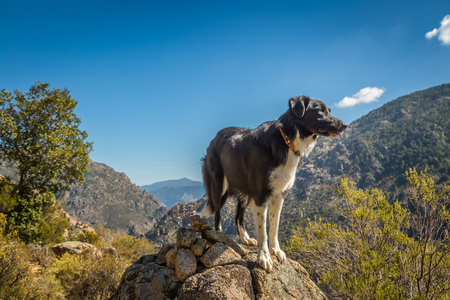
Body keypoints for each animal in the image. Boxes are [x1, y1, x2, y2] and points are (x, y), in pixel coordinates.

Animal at [201, 95, 348, 272]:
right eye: (320, 111)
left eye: (329, 111)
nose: (344, 125)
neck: (287, 140)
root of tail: (214, 138)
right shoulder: (260, 195)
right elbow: (263, 231)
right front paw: (263, 257)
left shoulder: (279, 195)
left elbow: (274, 226)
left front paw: (276, 250)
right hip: (218, 186)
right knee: (217, 215)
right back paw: (219, 237)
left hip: (244, 190)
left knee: (238, 216)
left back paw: (246, 239)